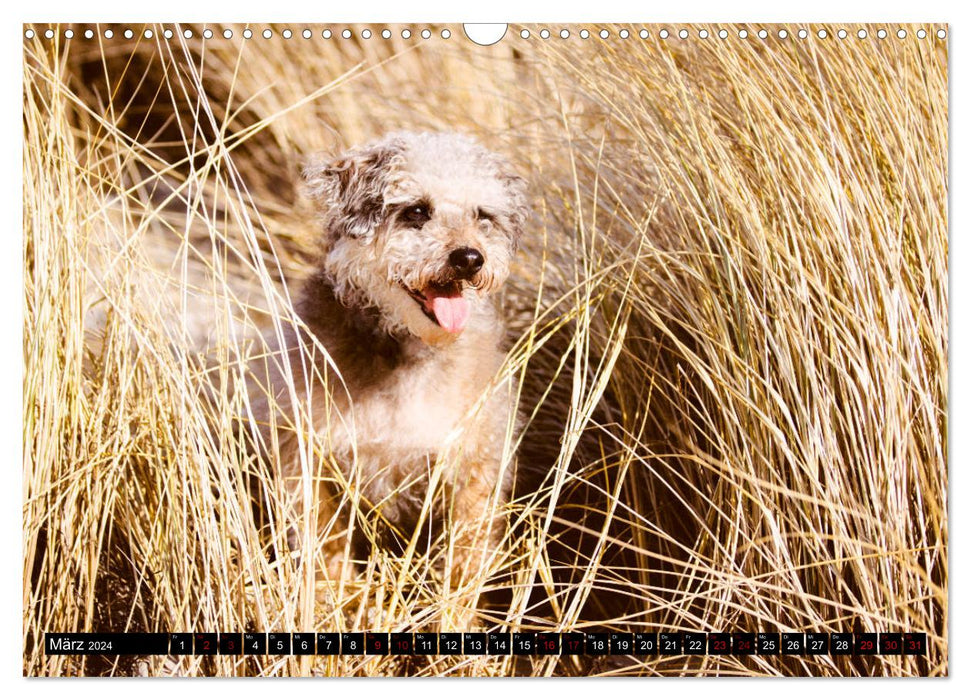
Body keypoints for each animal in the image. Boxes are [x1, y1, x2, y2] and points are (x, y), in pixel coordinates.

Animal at [247, 131, 528, 624]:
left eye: (483, 215)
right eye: (415, 211)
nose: (469, 258)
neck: (407, 354)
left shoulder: (475, 469)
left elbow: (462, 568)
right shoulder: (308, 465)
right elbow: (328, 559)